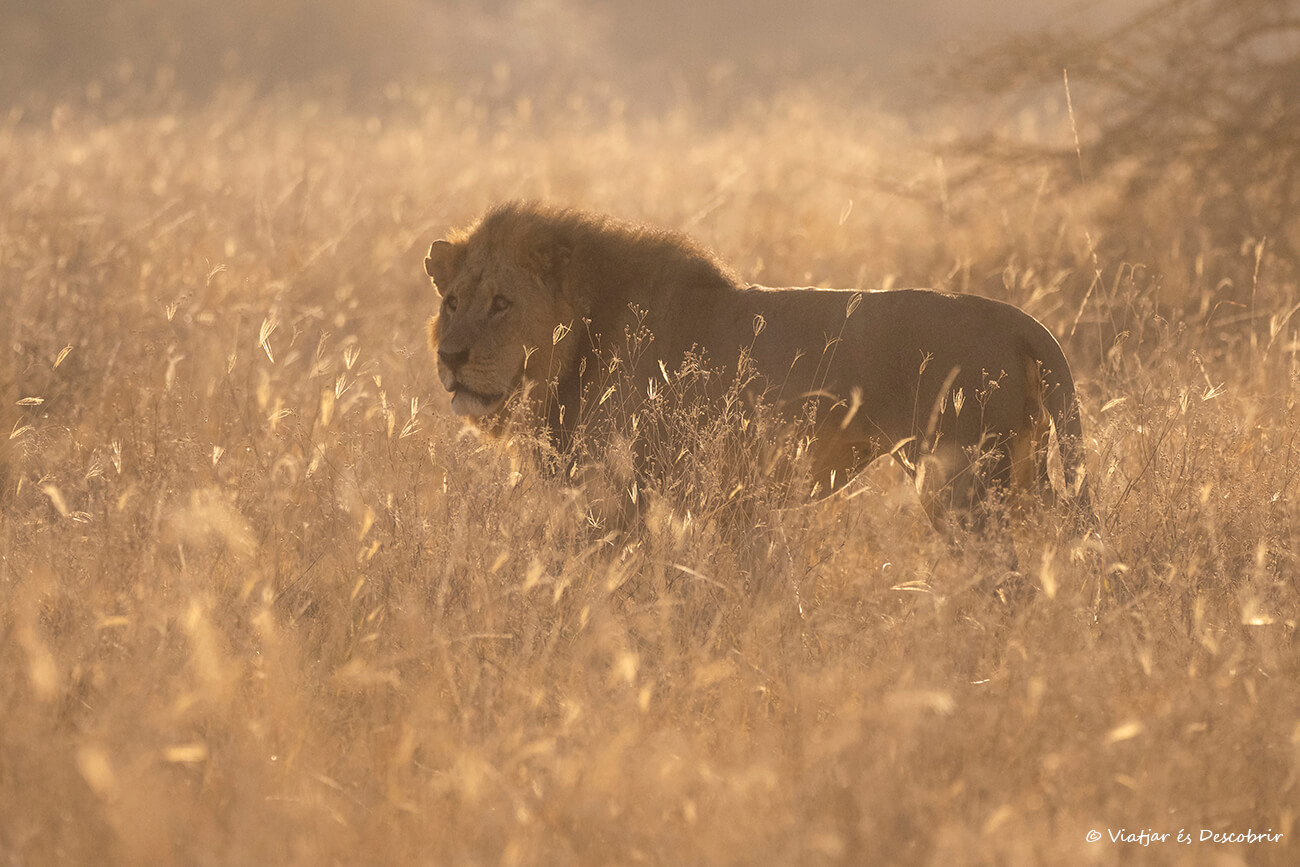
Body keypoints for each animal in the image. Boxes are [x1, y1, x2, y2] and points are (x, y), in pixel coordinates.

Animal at [424, 201, 1094, 535]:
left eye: (501, 304)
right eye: (452, 302)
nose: (450, 357)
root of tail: (1017, 319)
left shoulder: (622, 491)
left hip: (965, 483)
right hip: (1017, 471)